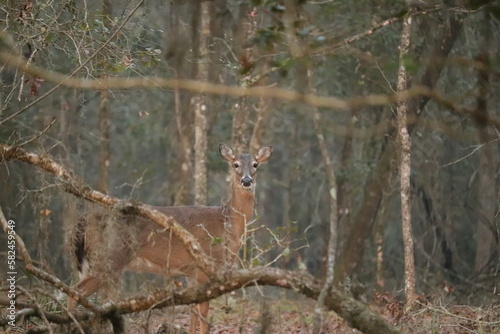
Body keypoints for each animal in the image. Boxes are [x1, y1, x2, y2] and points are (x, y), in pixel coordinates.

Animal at [67, 143, 274, 334]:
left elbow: (193, 311)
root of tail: (83, 220)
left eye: (255, 165)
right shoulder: (205, 267)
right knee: (76, 292)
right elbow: (203, 313)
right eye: (235, 164)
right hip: (109, 258)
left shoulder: (192, 272)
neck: (226, 224)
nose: (246, 181)